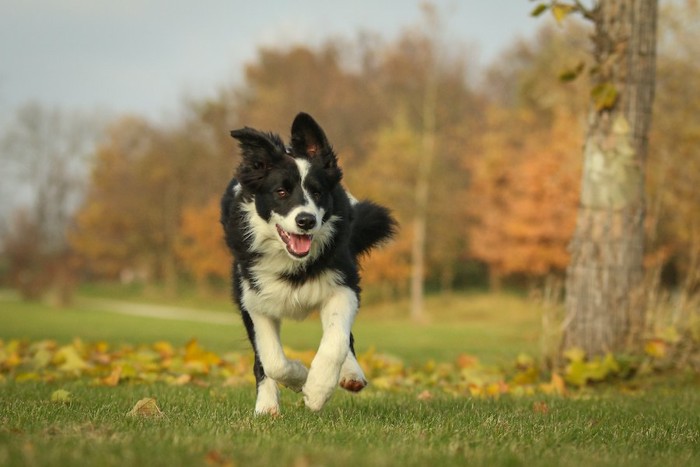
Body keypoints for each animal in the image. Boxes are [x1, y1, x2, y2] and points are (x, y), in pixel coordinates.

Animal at [220, 115, 394, 414]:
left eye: (317, 192)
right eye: (281, 191)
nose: (306, 221)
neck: (292, 261)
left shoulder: (343, 284)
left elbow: (336, 340)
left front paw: (317, 389)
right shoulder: (253, 297)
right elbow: (272, 359)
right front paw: (299, 378)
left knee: (344, 337)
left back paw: (350, 374)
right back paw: (267, 407)